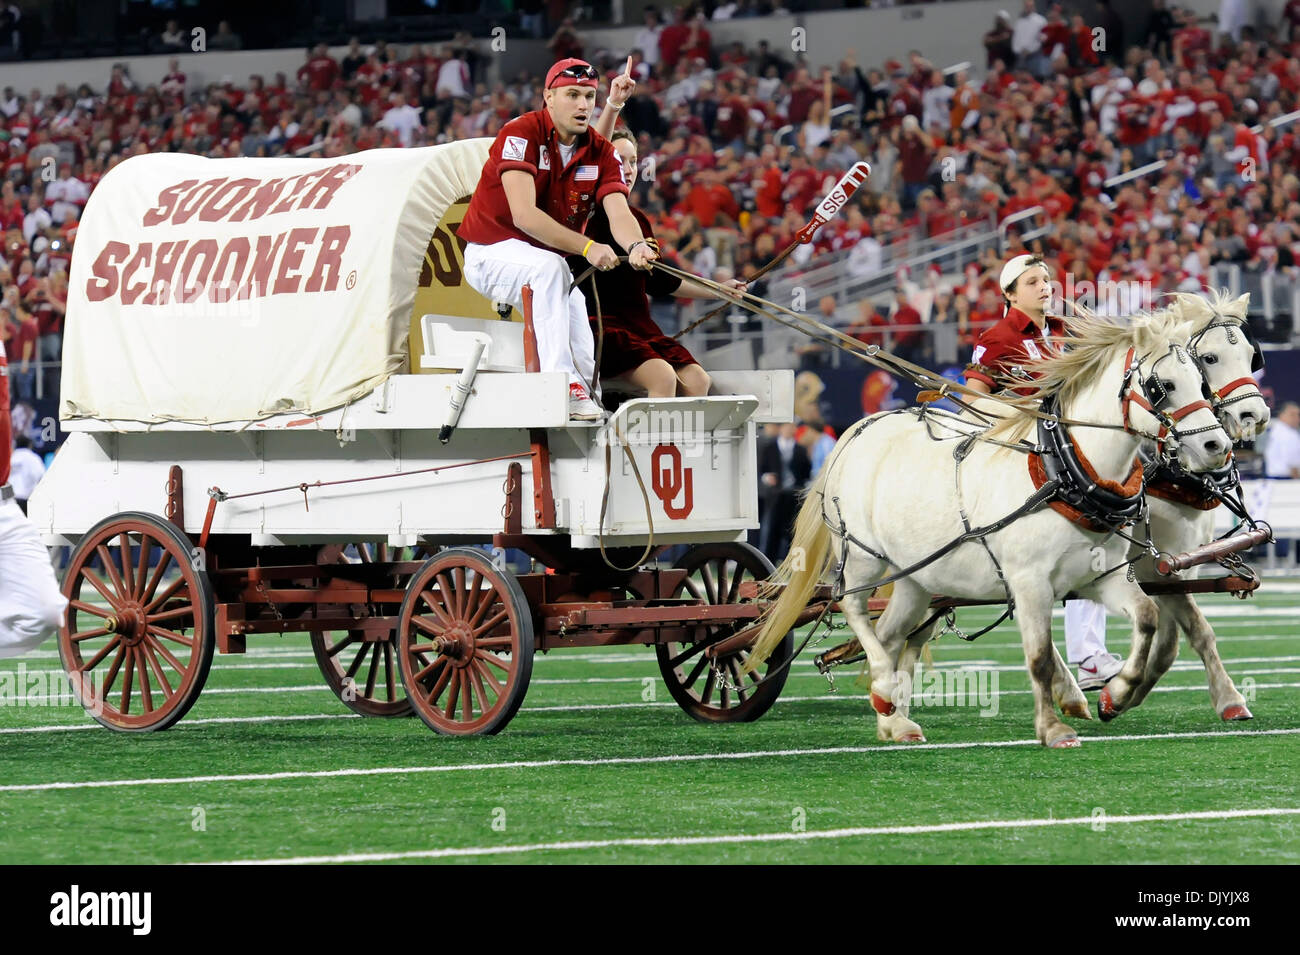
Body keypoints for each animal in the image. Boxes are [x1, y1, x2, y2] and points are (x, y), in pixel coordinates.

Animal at [754, 311, 1227, 748]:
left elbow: (1147, 618)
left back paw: (893, 717)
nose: (1216, 446)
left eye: (1201, 380)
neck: (1062, 470)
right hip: (864, 559)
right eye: (1162, 385)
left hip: (916, 579)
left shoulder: (1099, 577)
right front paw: (1053, 728)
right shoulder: (1030, 582)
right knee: (853, 609)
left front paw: (1118, 694)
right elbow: (1038, 657)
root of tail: (857, 429)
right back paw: (887, 690)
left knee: (889, 632)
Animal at [1102, 294, 1274, 722]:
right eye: (1209, 358)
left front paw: (1125, 691)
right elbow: (1196, 629)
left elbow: (1169, 644)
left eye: (1252, 357)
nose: (1255, 416)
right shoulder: (1150, 563)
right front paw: (1229, 697)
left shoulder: (1176, 566)